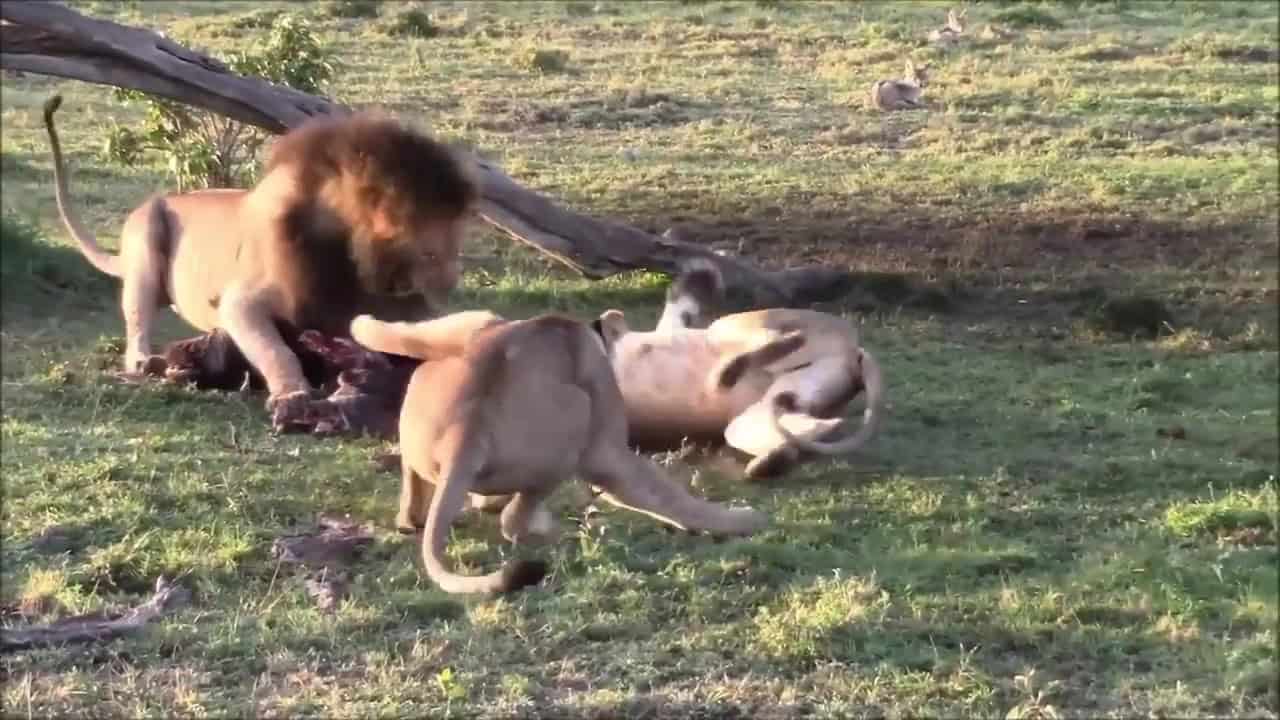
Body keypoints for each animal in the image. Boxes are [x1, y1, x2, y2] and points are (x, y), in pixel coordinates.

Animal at [42, 95, 478, 422]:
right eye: (431, 250)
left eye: (459, 244)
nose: (450, 283)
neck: (348, 255)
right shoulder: (243, 302)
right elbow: (275, 349)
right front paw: (291, 395)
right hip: (146, 232)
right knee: (138, 321)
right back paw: (142, 362)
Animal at [348, 311, 769, 595]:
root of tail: (464, 434)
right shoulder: (606, 445)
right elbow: (663, 494)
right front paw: (742, 520)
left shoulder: (478, 322)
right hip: (574, 419)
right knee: (513, 520)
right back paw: (551, 530)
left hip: (423, 387)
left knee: (419, 488)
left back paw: (418, 516)